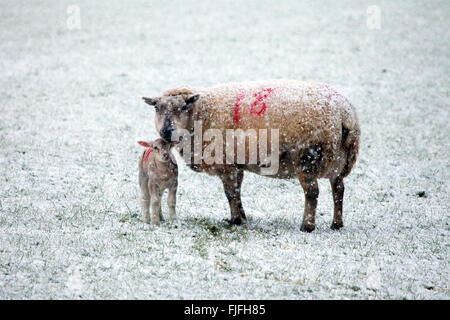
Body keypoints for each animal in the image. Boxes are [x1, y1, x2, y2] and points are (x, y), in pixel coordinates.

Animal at [142, 79, 360, 231]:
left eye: (183, 107)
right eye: (157, 108)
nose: (166, 131)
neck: (202, 113)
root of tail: (345, 114)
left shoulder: (226, 164)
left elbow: (230, 193)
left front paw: (235, 220)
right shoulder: (236, 164)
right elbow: (237, 193)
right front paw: (242, 217)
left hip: (307, 157)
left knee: (313, 193)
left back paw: (307, 226)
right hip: (340, 161)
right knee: (339, 190)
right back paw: (337, 224)